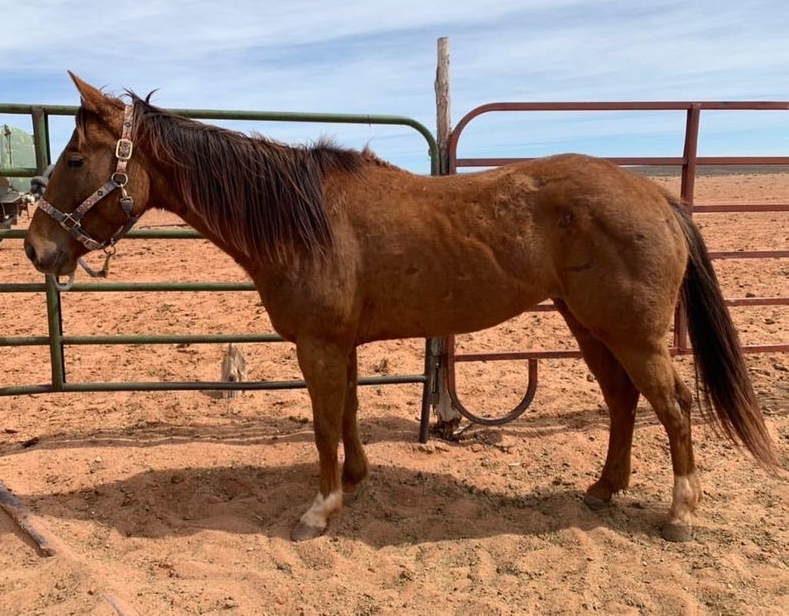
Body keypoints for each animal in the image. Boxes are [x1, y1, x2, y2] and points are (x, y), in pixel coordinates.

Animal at [23, 73, 776, 543]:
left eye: (76, 158)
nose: (35, 248)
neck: (302, 217)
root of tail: (657, 195)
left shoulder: (319, 343)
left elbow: (323, 425)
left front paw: (319, 510)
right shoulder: (341, 344)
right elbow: (348, 415)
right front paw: (354, 483)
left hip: (634, 334)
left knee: (673, 407)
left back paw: (679, 515)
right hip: (587, 324)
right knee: (623, 402)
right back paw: (602, 488)